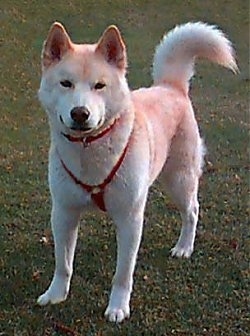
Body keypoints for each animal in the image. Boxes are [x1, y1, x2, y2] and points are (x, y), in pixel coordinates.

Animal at [36, 21, 236, 322]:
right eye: (66, 83)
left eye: (99, 85)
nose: (80, 113)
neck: (89, 149)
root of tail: (170, 86)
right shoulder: (63, 213)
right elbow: (63, 263)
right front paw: (56, 294)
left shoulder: (130, 218)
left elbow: (123, 273)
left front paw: (118, 306)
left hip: (179, 180)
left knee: (192, 210)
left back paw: (184, 247)